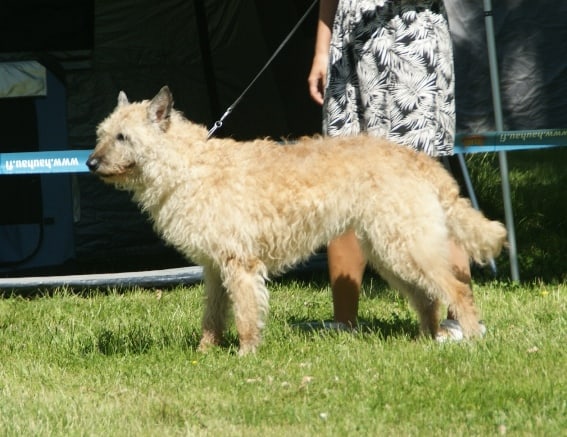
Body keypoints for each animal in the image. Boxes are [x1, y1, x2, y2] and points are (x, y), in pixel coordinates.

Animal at [86, 86, 508, 354]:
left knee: (457, 290)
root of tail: (417, 158)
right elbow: (213, 315)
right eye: (102, 133)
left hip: (408, 248)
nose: (90, 163)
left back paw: (471, 339)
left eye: (123, 137)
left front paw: (246, 355)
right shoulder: (214, 268)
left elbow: (245, 314)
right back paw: (426, 341)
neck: (189, 166)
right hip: (389, 251)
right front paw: (205, 352)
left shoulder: (239, 265)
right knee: (427, 299)